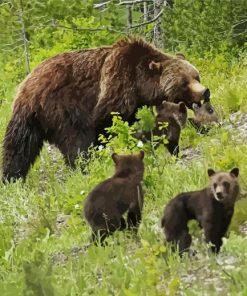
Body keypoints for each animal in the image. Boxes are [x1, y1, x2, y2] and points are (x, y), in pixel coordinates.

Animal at [1, 37, 210, 180]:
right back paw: (84, 167)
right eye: (184, 83)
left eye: (196, 76)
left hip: (30, 121)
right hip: (61, 108)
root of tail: (26, 87)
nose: (205, 92)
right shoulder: (115, 89)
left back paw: (12, 177)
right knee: (75, 142)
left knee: (19, 147)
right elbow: (107, 124)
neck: (140, 84)